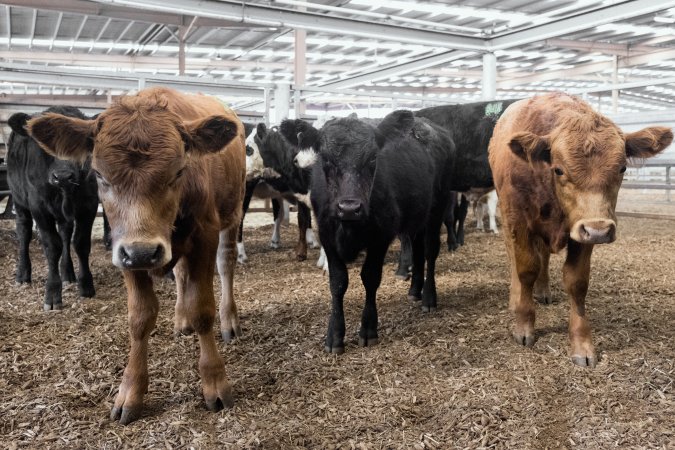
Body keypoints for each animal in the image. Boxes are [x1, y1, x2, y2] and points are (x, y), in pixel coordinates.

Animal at [6, 106, 99, 310]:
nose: (63, 176)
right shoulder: (39, 208)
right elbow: (51, 246)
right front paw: (53, 294)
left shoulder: (89, 206)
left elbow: (80, 243)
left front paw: (86, 285)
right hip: (19, 201)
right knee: (23, 232)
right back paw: (23, 275)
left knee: (65, 234)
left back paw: (67, 273)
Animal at [28, 87, 248, 422]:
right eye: (99, 174)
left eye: (179, 171)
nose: (144, 252)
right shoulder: (125, 251)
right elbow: (140, 317)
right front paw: (130, 392)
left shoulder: (205, 235)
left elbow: (202, 309)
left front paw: (215, 382)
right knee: (180, 274)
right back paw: (180, 320)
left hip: (231, 214)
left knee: (226, 265)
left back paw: (229, 320)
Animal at [488, 93, 672, 368]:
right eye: (559, 169)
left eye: (622, 168)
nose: (599, 231)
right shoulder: (518, 221)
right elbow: (526, 270)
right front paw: (524, 325)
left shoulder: (582, 232)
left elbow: (576, 282)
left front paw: (582, 345)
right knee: (515, 259)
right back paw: (516, 296)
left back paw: (543, 291)